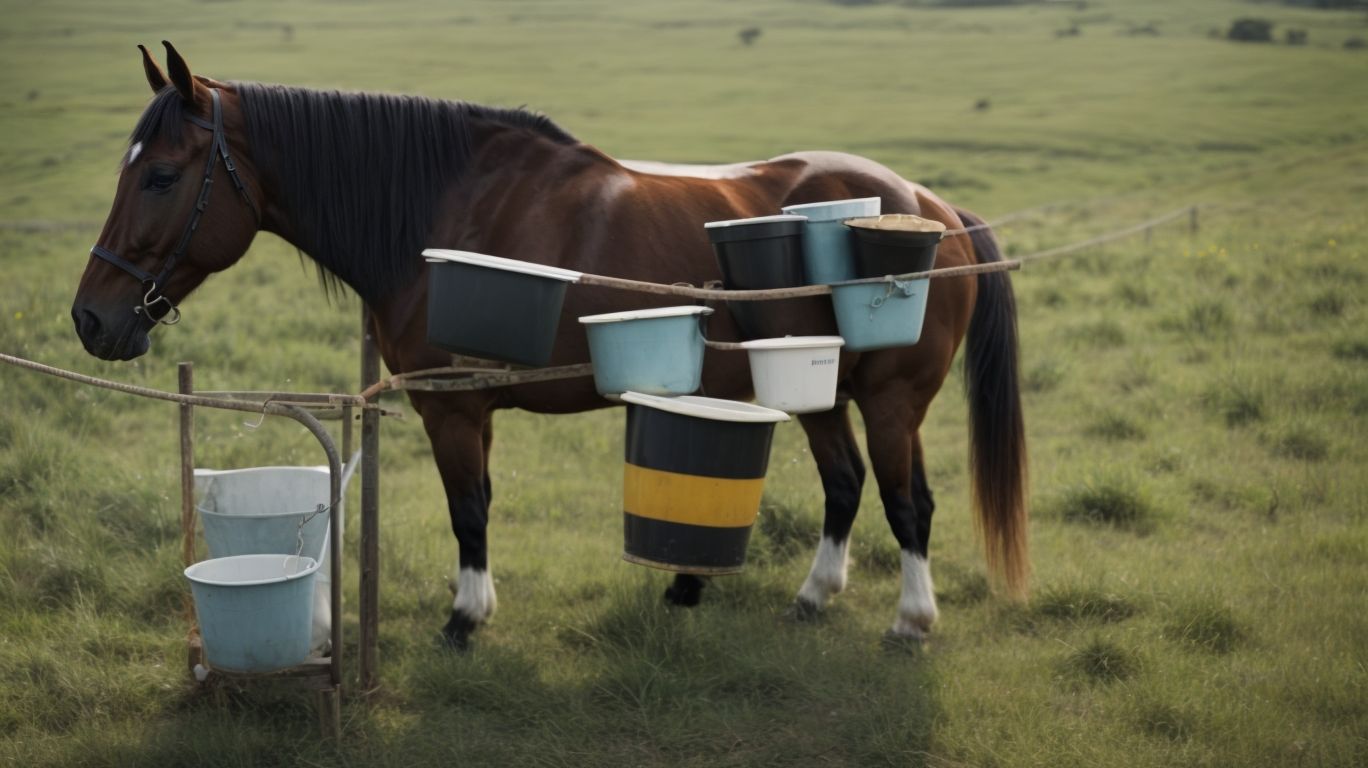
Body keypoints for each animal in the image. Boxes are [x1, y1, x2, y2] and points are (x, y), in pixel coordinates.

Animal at [71, 42, 1028, 649]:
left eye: (161, 175)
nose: (90, 319)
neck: (442, 213)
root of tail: (930, 206)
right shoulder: (472, 411)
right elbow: (480, 505)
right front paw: (477, 608)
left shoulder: (452, 410)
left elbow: (468, 509)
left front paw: (465, 619)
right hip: (816, 390)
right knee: (845, 485)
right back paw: (813, 598)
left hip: (891, 401)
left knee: (908, 505)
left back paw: (911, 622)